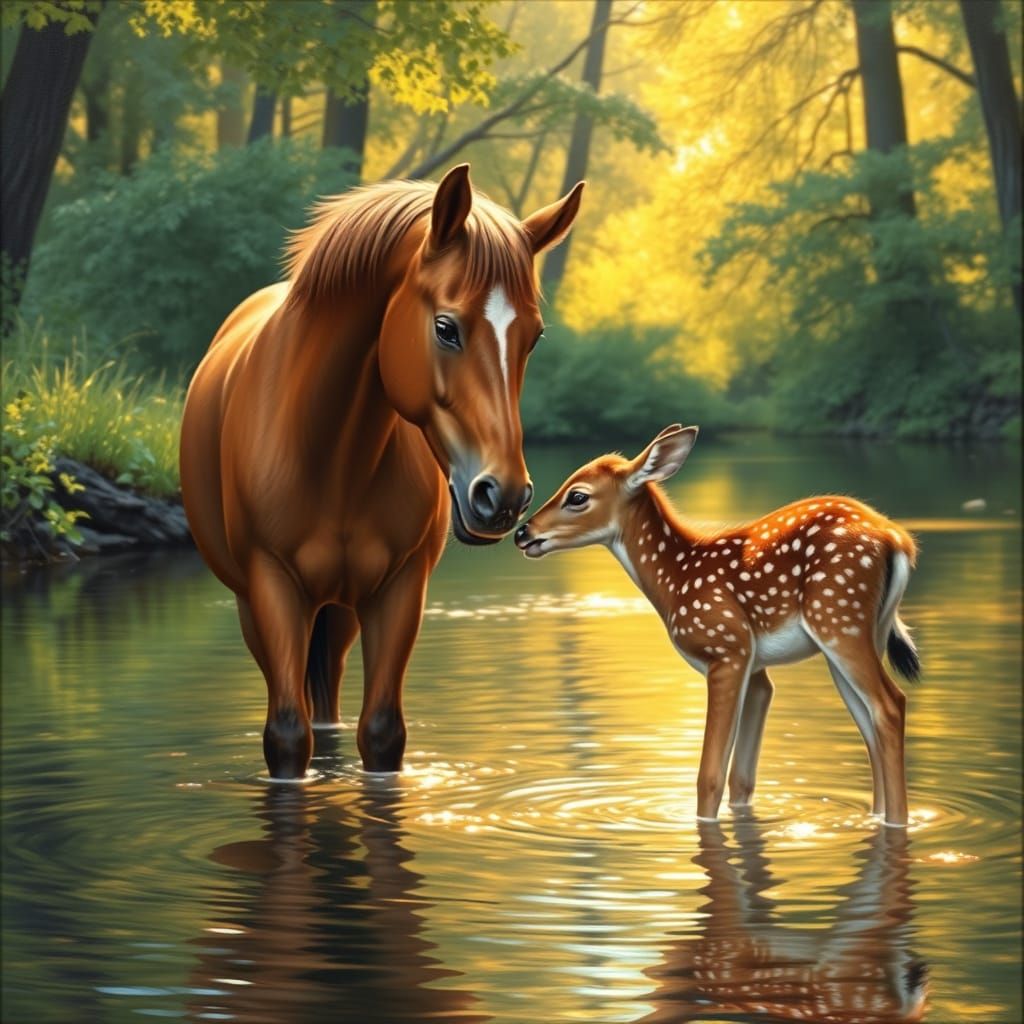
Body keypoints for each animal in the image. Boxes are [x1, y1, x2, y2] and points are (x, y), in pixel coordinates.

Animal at [180, 164, 583, 779]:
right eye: (445, 327)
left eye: (533, 336)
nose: (503, 496)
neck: (335, 458)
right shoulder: (273, 586)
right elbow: (286, 737)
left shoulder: (400, 589)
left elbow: (382, 732)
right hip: (263, 606)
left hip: (339, 613)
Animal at [514, 425, 920, 827]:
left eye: (577, 496)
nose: (522, 532)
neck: (676, 580)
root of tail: (897, 539)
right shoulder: (757, 672)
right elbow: (741, 778)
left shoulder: (727, 647)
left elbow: (709, 775)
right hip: (863, 634)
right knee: (870, 725)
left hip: (838, 617)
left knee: (890, 705)